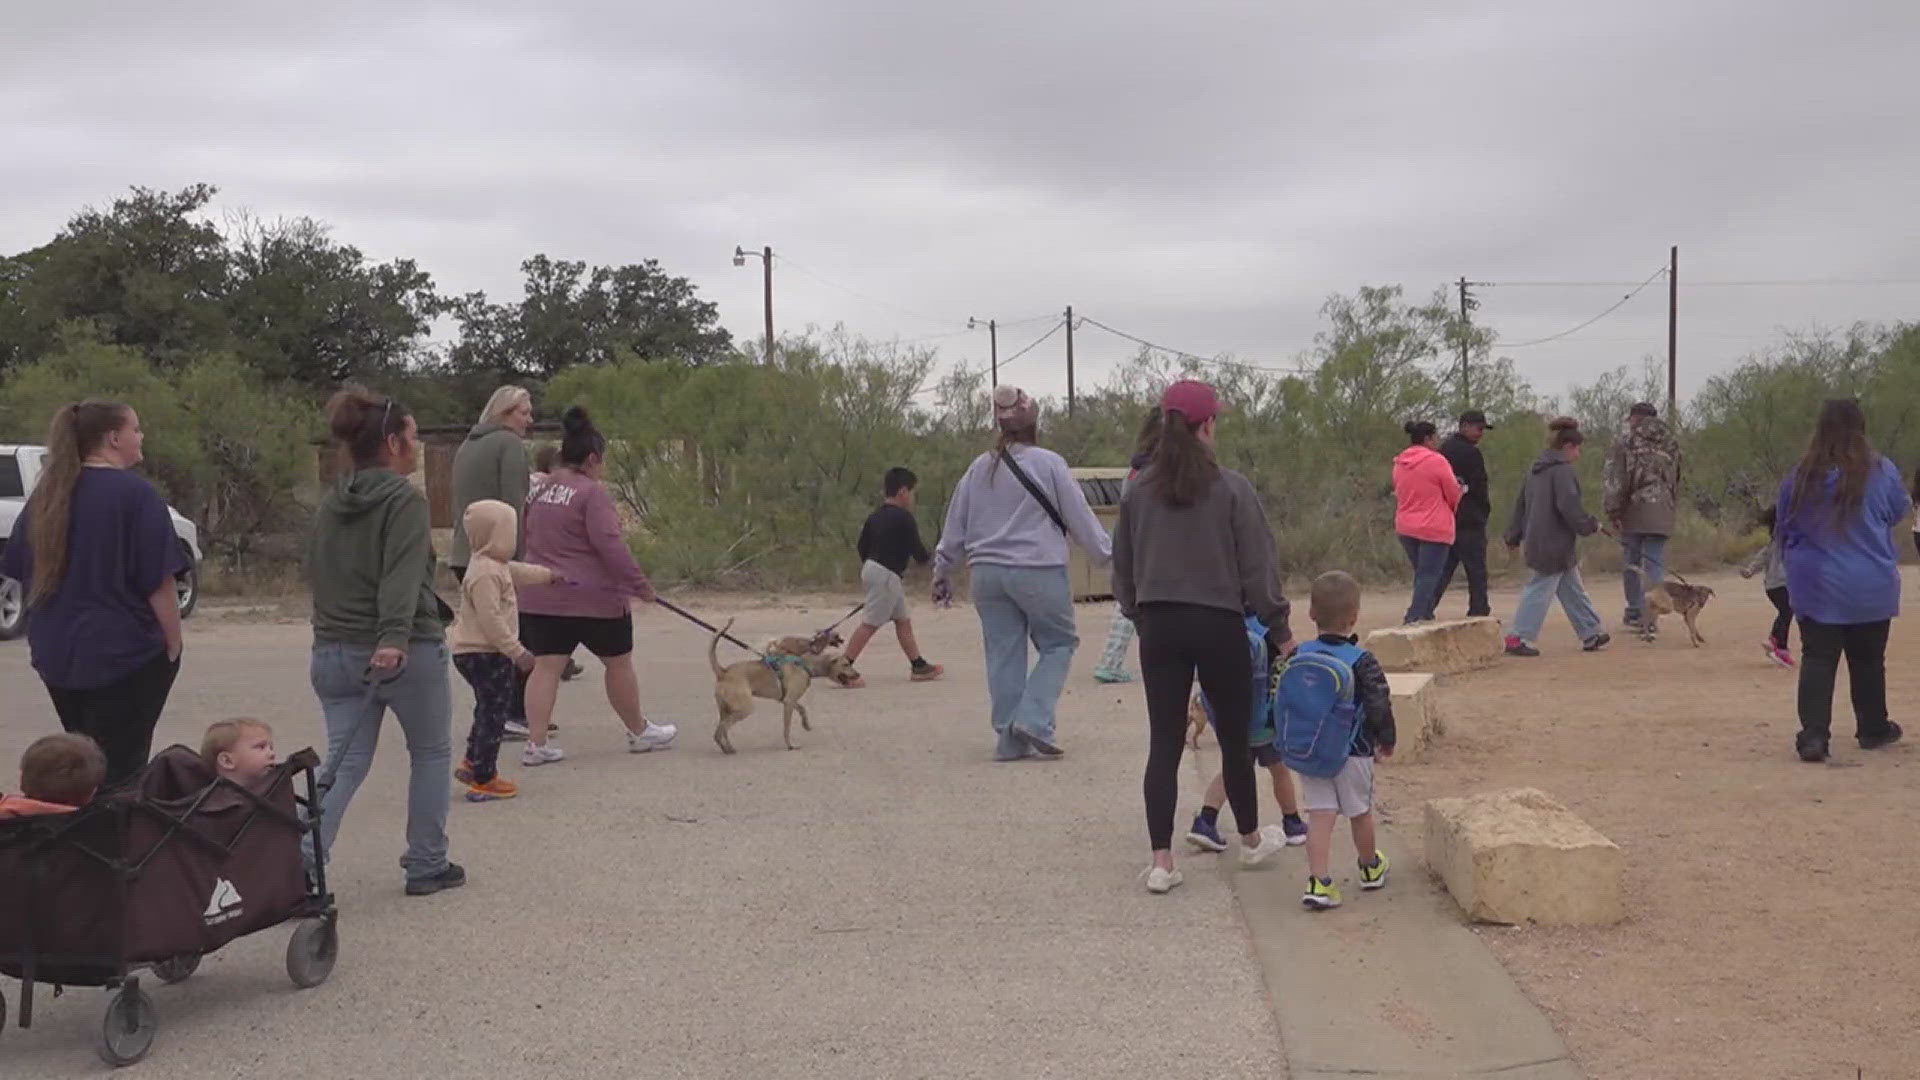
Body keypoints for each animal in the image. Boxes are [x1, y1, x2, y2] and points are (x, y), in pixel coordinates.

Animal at [710, 618, 860, 753]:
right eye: (846, 664)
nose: (858, 675)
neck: (805, 664)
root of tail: (723, 671)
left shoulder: (788, 700)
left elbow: (803, 709)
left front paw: (806, 725)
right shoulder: (788, 702)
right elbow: (786, 728)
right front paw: (790, 745)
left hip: (725, 710)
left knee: (722, 729)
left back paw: (728, 748)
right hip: (744, 708)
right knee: (720, 731)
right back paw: (726, 748)